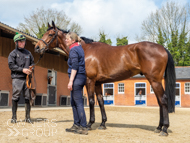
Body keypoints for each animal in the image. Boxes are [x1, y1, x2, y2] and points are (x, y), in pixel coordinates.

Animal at [35, 21, 176, 136]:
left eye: (50, 34)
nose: (37, 47)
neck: (85, 50)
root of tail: (162, 48)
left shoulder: (90, 81)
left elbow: (92, 102)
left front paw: (89, 124)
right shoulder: (98, 83)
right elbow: (101, 102)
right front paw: (103, 124)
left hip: (155, 81)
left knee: (163, 100)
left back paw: (164, 129)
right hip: (154, 81)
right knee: (159, 102)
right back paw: (159, 127)